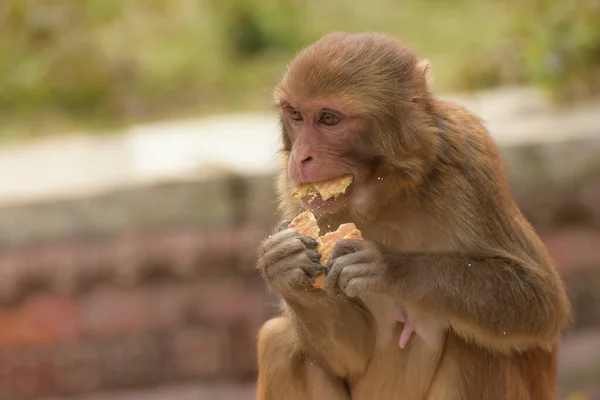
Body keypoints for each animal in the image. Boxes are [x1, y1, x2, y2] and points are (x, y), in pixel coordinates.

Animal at [254, 32, 572, 400]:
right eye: (295, 114)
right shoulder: (293, 196)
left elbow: (542, 303)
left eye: (329, 119)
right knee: (279, 341)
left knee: (478, 345)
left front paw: (390, 268)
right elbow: (349, 357)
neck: (385, 194)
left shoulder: (470, 159)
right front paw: (284, 266)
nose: (301, 157)